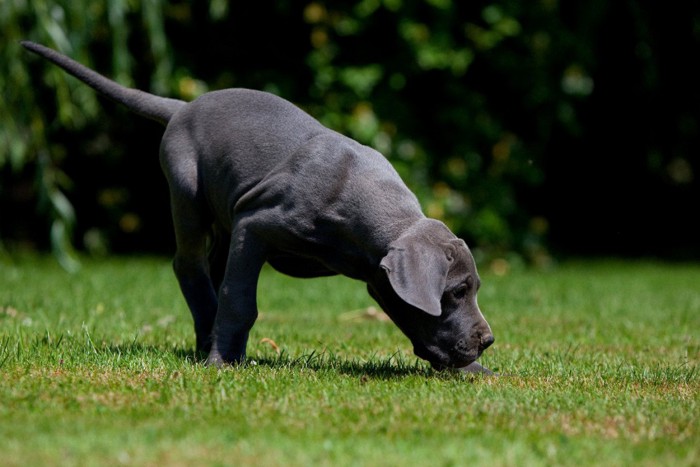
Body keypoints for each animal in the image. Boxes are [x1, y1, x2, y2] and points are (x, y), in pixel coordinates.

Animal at [20, 42, 492, 374]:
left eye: (471, 290)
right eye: (455, 291)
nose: (487, 341)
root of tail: (185, 105)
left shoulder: (376, 276)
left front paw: (473, 369)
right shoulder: (256, 225)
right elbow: (240, 298)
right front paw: (224, 361)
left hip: (222, 221)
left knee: (210, 271)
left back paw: (205, 339)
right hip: (187, 193)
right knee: (189, 265)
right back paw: (210, 343)